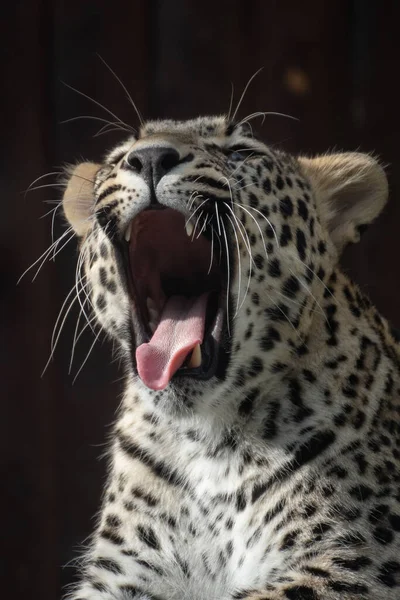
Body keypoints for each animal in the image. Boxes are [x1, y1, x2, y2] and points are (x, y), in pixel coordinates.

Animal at [61, 113, 400, 600]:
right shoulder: (126, 571)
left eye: (241, 152)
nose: (150, 157)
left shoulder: (356, 560)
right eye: (119, 158)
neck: (206, 443)